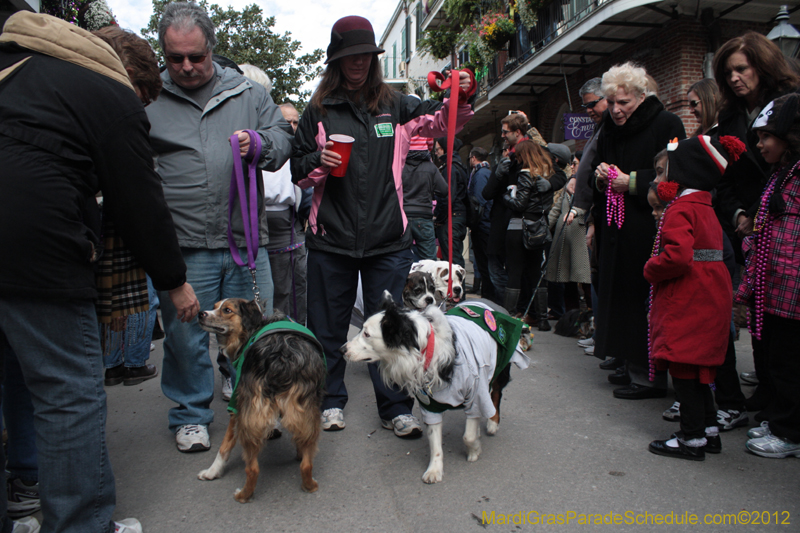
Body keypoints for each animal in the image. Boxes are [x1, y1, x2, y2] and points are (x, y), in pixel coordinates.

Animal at [197, 298, 324, 500]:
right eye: (215, 305)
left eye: (227, 310)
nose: (201, 313)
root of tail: (280, 356)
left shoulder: (236, 407)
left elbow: (225, 445)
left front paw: (212, 471)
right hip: (306, 410)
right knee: (305, 464)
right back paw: (308, 485)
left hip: (248, 411)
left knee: (253, 469)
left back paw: (243, 496)